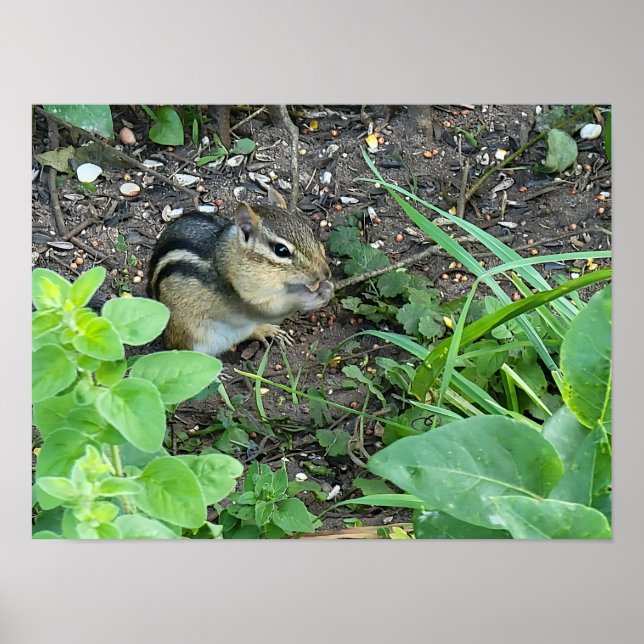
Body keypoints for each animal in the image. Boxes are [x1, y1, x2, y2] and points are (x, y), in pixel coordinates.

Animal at [146, 188, 334, 356]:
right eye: (281, 250)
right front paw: (315, 295)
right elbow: (275, 309)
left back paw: (267, 330)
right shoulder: (248, 297)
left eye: (310, 232)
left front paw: (326, 287)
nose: (326, 273)